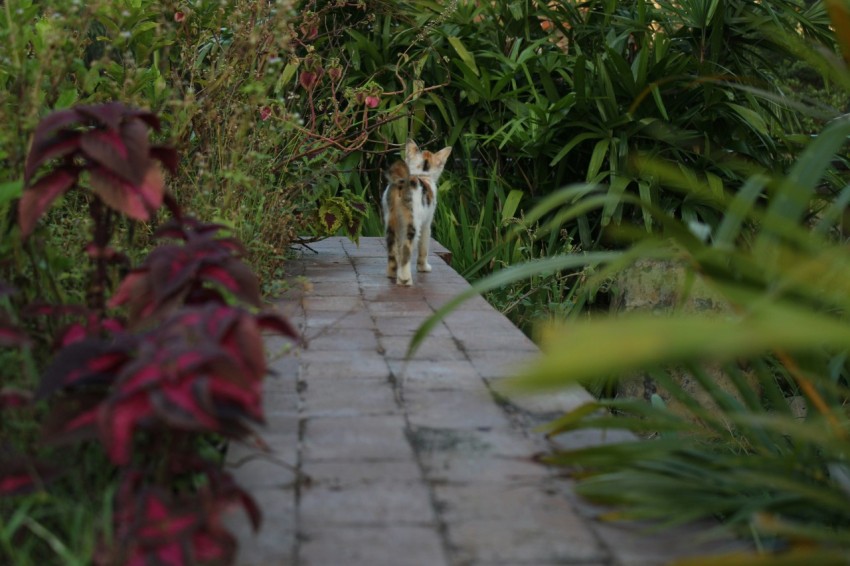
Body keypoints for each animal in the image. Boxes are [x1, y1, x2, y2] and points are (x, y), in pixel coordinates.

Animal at [382, 140, 450, 286]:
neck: (421, 174)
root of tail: (403, 181)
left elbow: (398, 248)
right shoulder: (426, 225)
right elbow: (424, 248)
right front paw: (423, 268)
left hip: (390, 221)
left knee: (392, 249)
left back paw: (392, 273)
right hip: (413, 224)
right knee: (406, 251)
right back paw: (405, 279)